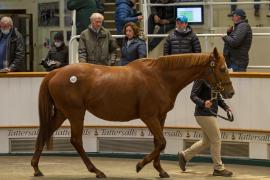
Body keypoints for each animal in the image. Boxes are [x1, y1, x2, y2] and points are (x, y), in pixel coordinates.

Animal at [31, 47, 234, 179]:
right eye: (222, 68)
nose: (230, 93)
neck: (161, 77)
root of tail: (55, 73)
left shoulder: (160, 117)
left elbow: (158, 142)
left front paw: (160, 170)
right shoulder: (149, 117)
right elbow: (162, 142)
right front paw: (140, 165)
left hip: (62, 113)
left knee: (45, 133)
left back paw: (36, 168)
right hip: (75, 113)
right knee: (76, 140)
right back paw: (97, 171)